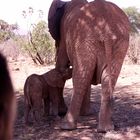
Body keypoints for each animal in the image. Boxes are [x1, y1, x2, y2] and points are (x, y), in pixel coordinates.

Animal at [48, 0, 130, 132]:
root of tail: (107, 31)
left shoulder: (64, 34)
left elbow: (60, 67)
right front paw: (85, 114)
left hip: (85, 40)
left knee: (81, 78)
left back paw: (66, 126)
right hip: (119, 43)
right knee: (106, 76)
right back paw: (106, 128)